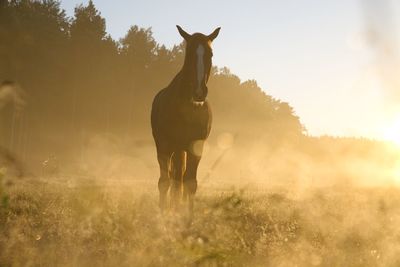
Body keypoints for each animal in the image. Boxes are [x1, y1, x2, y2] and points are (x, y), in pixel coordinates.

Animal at [150, 26, 220, 217]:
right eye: (188, 53)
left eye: (210, 54)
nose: (199, 91)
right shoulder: (165, 145)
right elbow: (164, 182)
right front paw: (162, 215)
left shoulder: (196, 146)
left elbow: (190, 182)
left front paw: (188, 217)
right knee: (171, 178)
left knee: (178, 178)